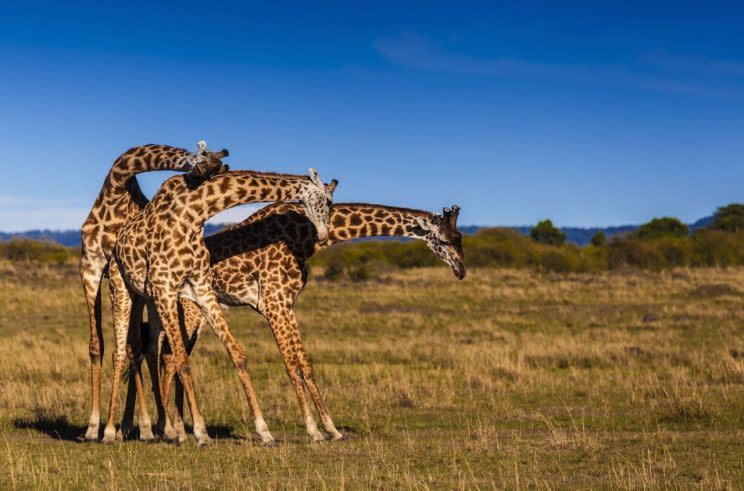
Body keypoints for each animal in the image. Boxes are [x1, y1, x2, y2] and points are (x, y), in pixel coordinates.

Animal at [80, 141, 227, 442]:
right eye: (206, 168)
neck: (116, 185)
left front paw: (143, 426)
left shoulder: (121, 275)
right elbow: (96, 345)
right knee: (140, 347)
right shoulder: (90, 266)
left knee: (145, 348)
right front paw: (92, 427)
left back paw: (152, 427)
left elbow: (136, 347)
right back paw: (129, 426)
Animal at [103, 167, 336, 448]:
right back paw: (111, 431)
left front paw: (265, 432)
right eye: (329, 202)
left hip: (150, 299)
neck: (196, 212)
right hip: (124, 289)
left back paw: (160, 428)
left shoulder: (200, 288)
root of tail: (117, 244)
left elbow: (238, 354)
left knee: (149, 349)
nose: (322, 235)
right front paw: (201, 433)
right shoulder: (166, 286)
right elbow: (183, 360)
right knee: (120, 353)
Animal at [128, 202, 464, 444]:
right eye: (445, 239)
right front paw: (313, 431)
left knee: (168, 356)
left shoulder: (287, 304)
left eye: (459, 238)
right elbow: (291, 363)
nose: (462, 270)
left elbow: (305, 363)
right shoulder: (273, 302)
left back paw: (173, 428)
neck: (307, 235)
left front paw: (331, 429)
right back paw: (170, 430)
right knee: (170, 356)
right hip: (190, 309)